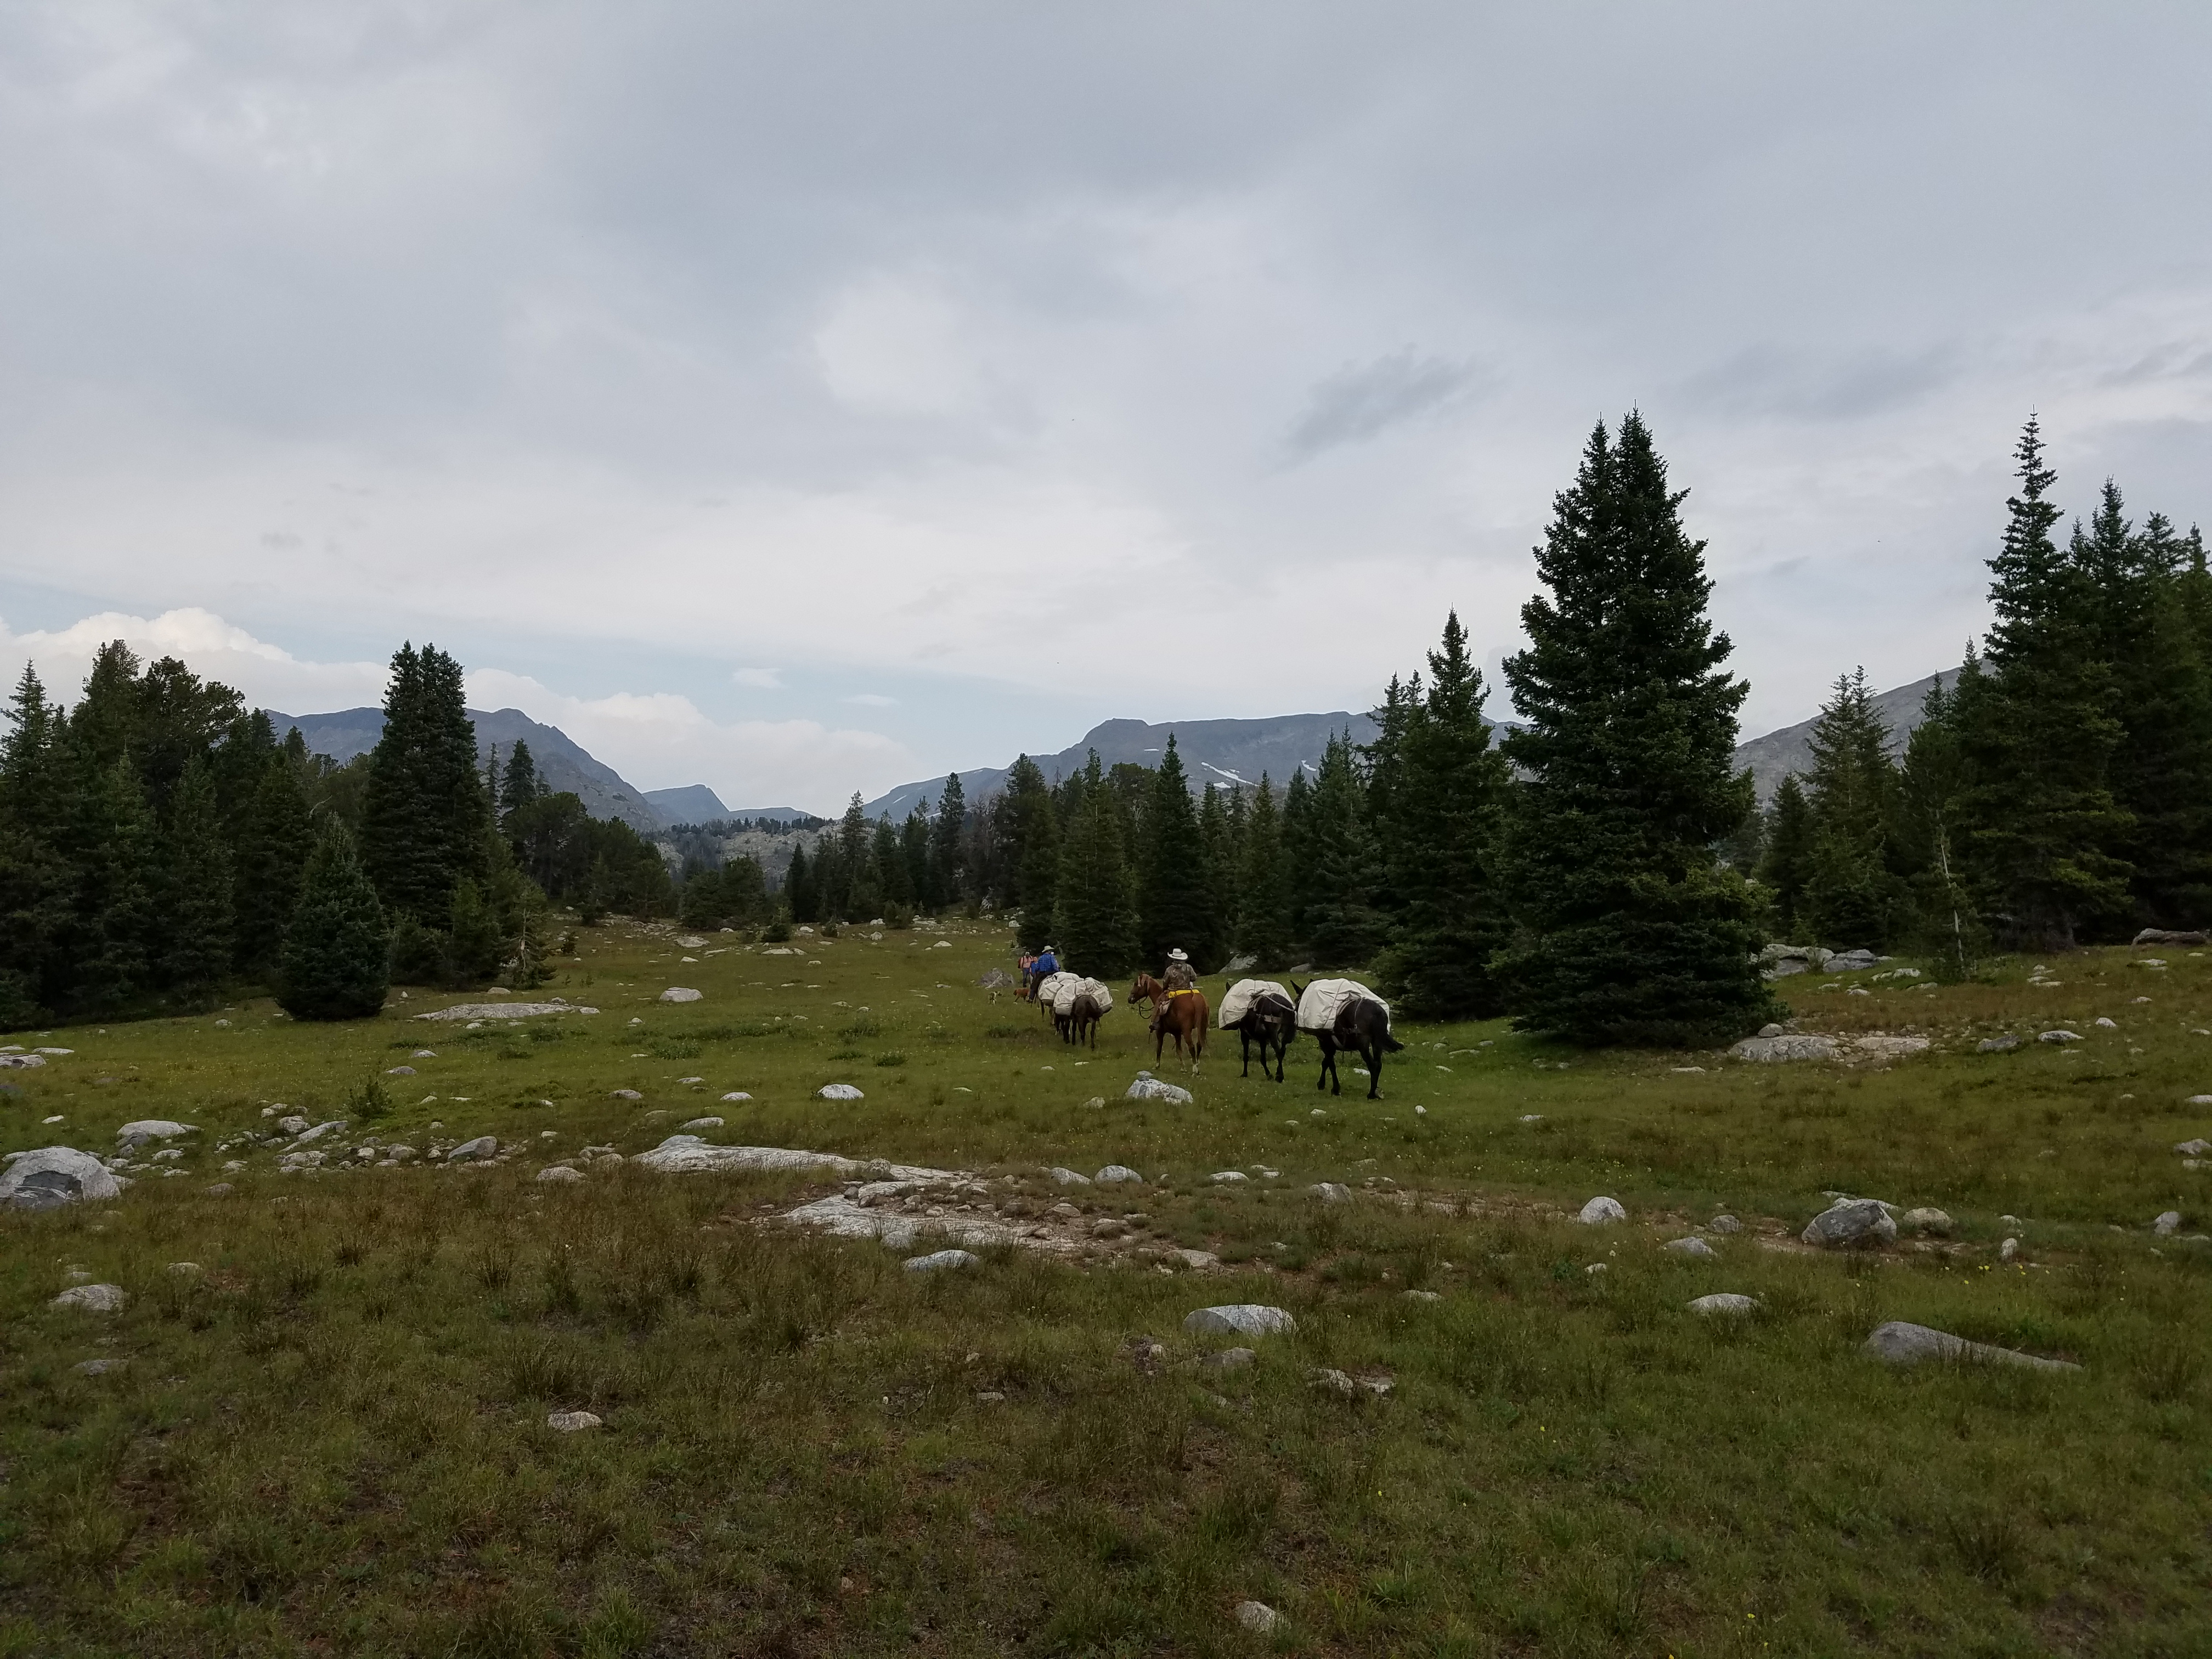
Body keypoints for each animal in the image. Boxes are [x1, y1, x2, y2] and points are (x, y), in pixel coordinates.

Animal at [1124, 982, 1212, 1070]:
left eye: (1136, 984)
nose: (1129, 999)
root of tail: (1194, 997)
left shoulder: (1160, 1032)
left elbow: (1159, 1048)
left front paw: (1157, 1066)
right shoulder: (1177, 1033)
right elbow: (1179, 1050)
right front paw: (1183, 1068)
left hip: (1187, 1030)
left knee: (1192, 1047)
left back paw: (1195, 1070)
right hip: (1202, 1028)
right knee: (1199, 1044)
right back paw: (1197, 1064)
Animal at [1291, 986, 1407, 1106]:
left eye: (1297, 1000)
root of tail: (1378, 1012)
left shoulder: (1327, 1045)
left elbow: (1329, 1064)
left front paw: (1332, 1088)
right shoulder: (1331, 1047)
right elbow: (1327, 1063)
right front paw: (1326, 1085)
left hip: (1363, 1045)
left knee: (1372, 1065)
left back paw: (1371, 1094)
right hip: (1377, 1043)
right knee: (1378, 1065)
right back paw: (1375, 1091)